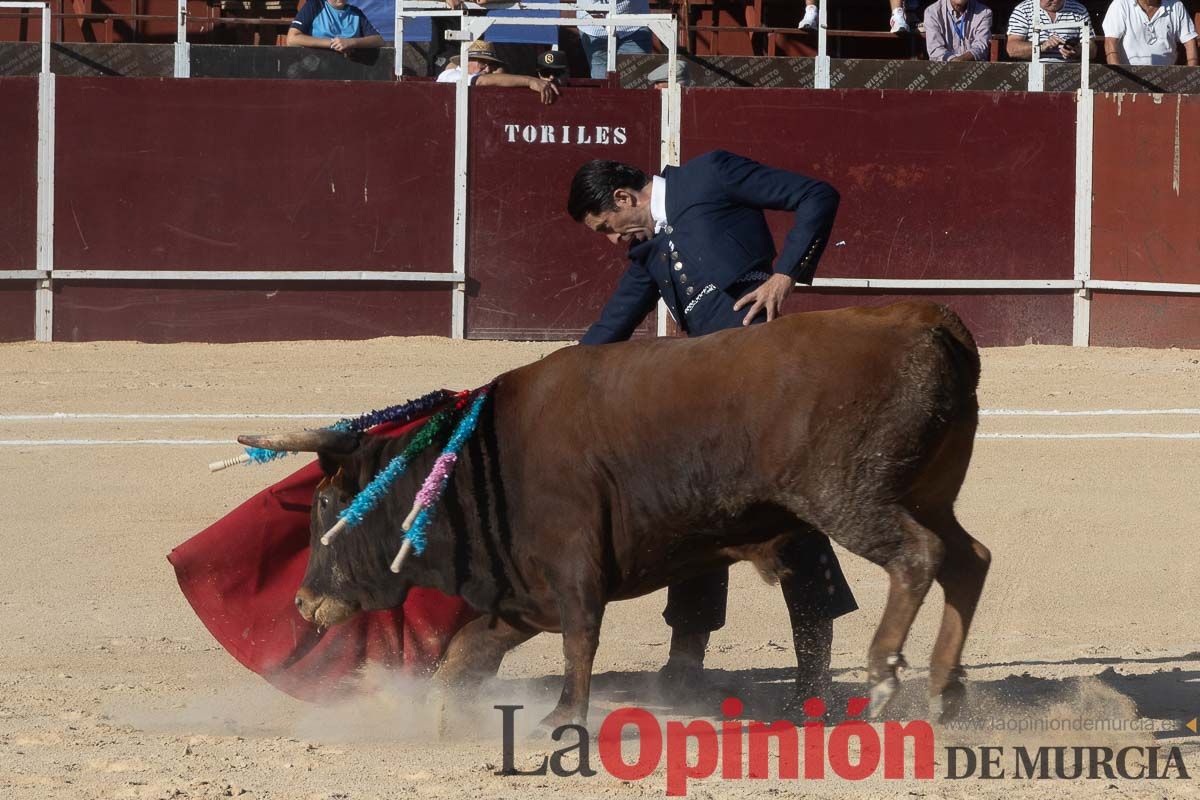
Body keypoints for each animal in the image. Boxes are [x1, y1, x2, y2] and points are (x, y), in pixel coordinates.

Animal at [241, 302, 984, 734]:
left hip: (849, 496)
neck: (480, 464)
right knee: (968, 560)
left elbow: (581, 639)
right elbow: (466, 651)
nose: (303, 602)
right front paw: (444, 714)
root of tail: (924, 319)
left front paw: (564, 717)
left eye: (327, 504)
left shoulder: (572, 565)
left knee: (919, 557)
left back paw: (886, 674)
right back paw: (943, 690)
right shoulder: (525, 593)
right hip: (928, 493)